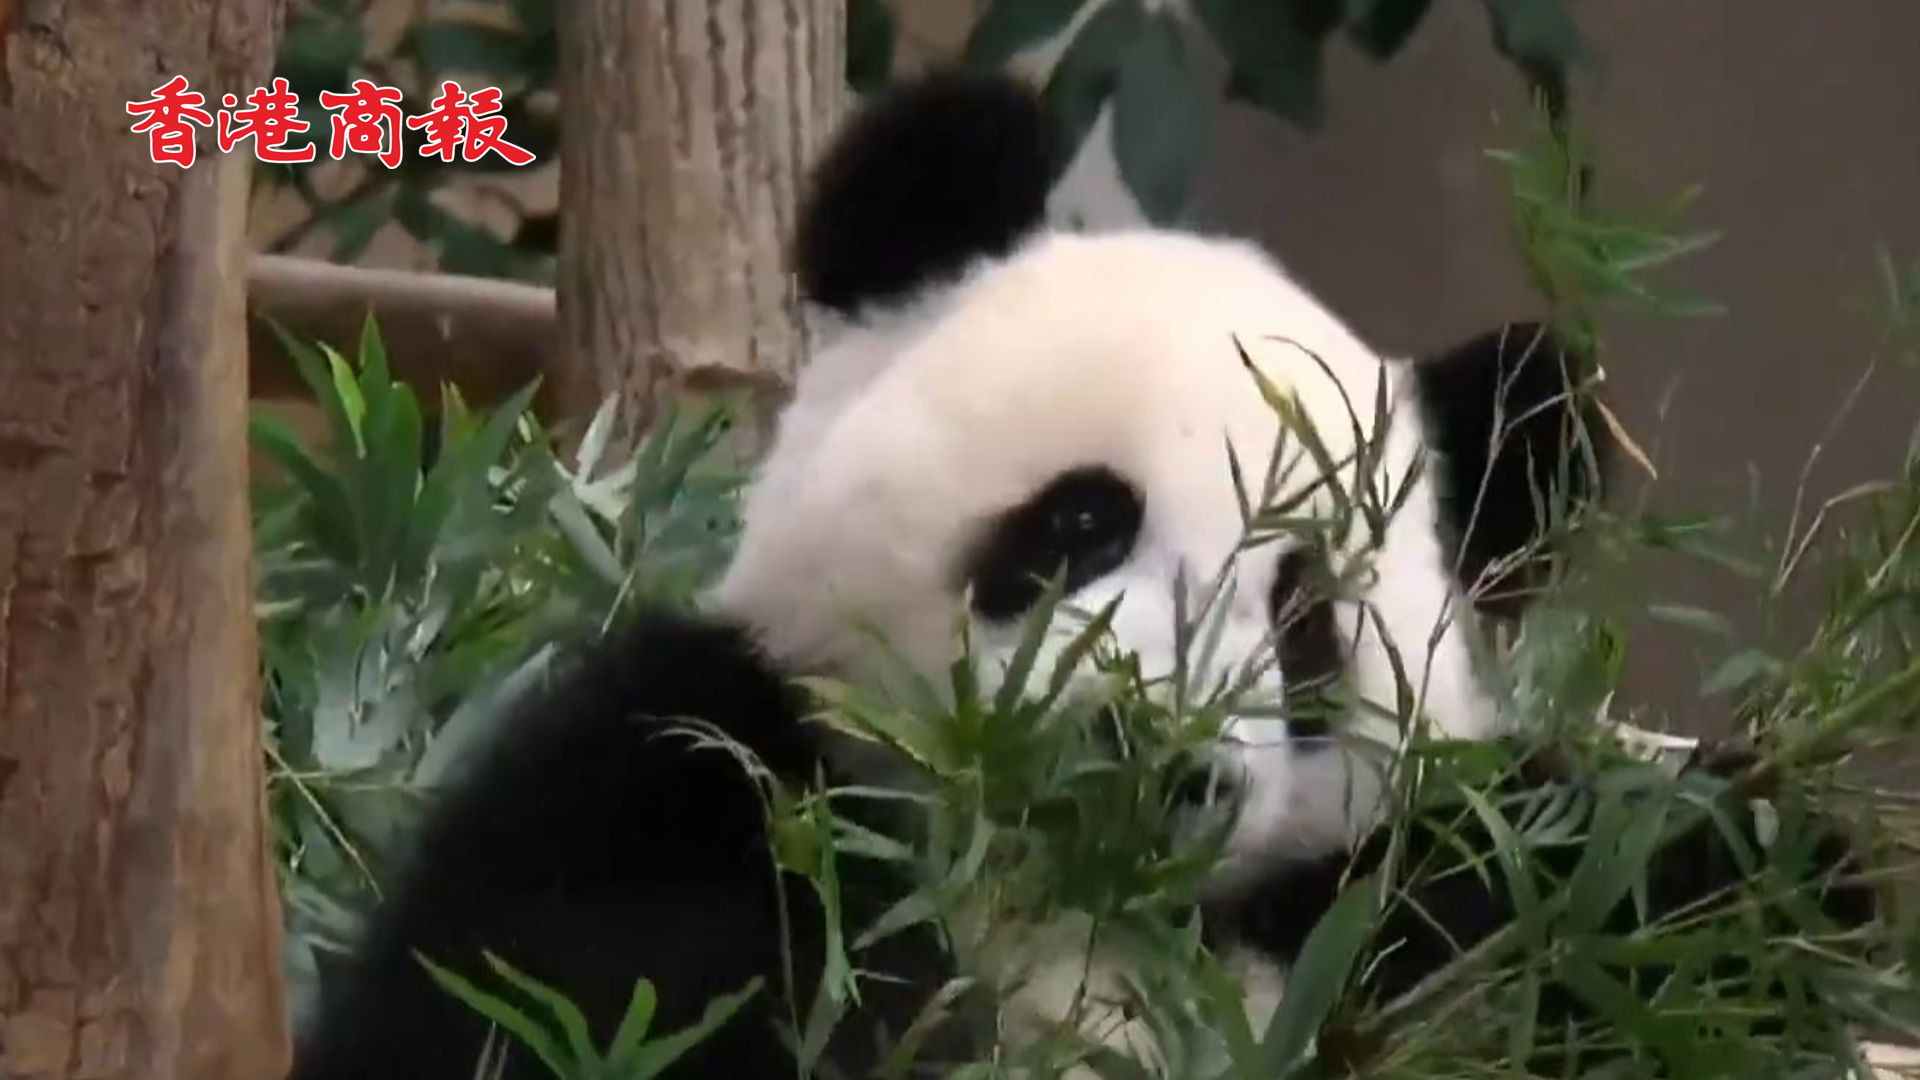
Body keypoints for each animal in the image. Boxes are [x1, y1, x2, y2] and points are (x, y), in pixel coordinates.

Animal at [288, 69, 1873, 1076]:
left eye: (1304, 624)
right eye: (1081, 526)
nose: (1158, 751)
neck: (1053, 889)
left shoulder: (1383, 920)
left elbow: (1615, 907)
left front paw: (1746, 863)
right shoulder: (695, 778)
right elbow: (549, 995)